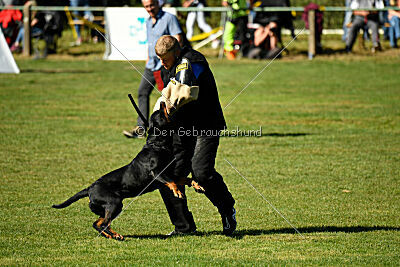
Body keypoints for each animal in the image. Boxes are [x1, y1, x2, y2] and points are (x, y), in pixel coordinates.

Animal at [52, 103, 203, 242]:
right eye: (159, 113)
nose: (162, 103)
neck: (157, 145)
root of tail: (90, 188)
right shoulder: (157, 174)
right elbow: (172, 183)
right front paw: (178, 193)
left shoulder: (171, 174)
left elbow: (185, 179)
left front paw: (197, 185)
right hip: (114, 203)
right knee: (102, 223)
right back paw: (116, 236)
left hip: (109, 207)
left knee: (98, 223)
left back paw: (113, 235)